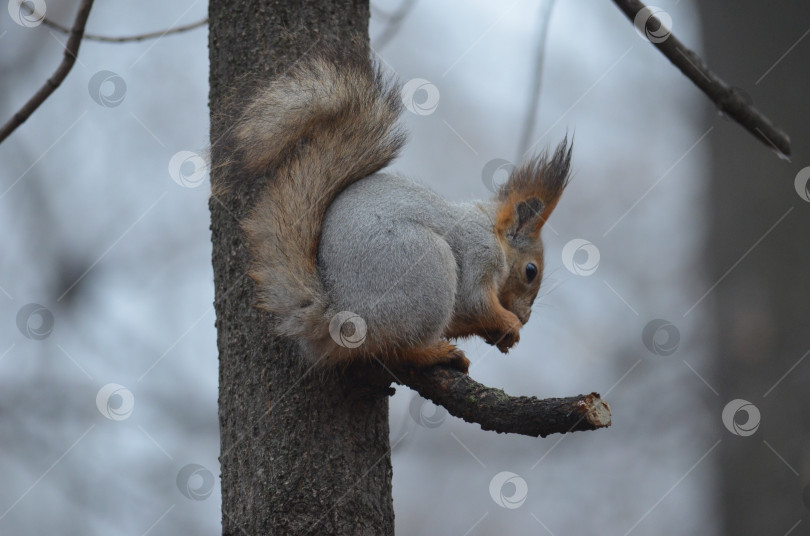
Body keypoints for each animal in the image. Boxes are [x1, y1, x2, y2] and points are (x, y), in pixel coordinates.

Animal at [234, 53, 572, 372]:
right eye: (531, 271)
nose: (525, 317)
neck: (491, 230)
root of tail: (340, 317)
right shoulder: (478, 254)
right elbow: (474, 302)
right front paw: (507, 323)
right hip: (428, 273)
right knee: (399, 348)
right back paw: (435, 353)